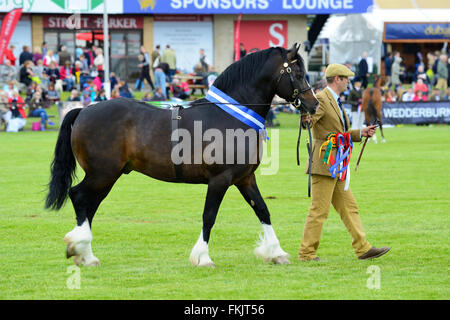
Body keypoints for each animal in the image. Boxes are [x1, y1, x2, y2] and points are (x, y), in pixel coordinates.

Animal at [45, 42, 318, 268]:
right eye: (298, 74)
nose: (313, 105)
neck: (230, 114)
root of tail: (82, 111)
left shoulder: (244, 179)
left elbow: (262, 210)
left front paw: (276, 253)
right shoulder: (220, 179)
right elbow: (209, 216)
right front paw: (203, 257)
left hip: (106, 177)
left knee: (89, 206)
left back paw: (85, 254)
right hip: (102, 174)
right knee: (79, 197)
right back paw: (81, 249)